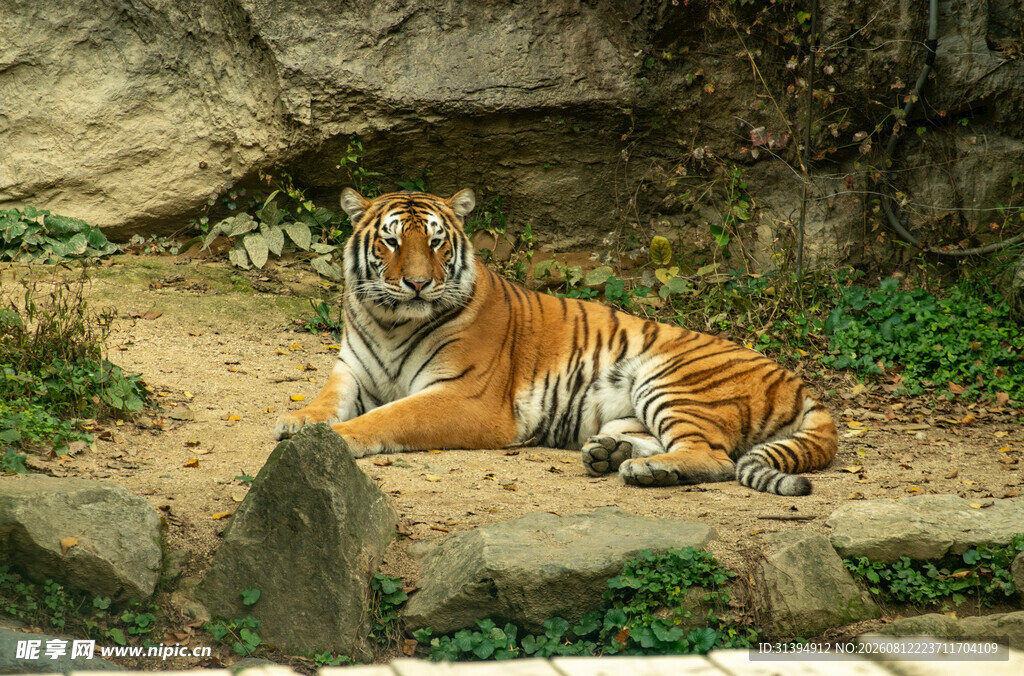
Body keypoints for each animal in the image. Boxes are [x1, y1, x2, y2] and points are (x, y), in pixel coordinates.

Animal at [273, 188, 837, 495]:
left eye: (435, 242)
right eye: (391, 241)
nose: (417, 283)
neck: (390, 322)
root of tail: (798, 382)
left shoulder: (467, 398)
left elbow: (391, 417)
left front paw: (335, 439)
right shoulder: (352, 370)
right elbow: (326, 398)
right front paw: (297, 420)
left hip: (672, 380)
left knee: (714, 456)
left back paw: (645, 470)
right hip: (630, 406)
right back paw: (608, 455)